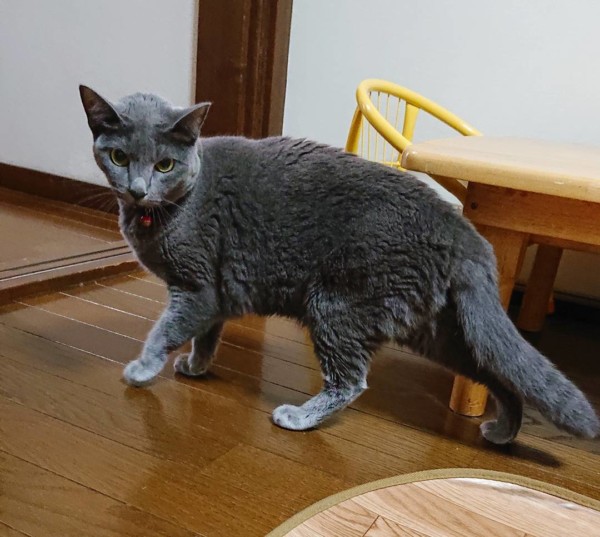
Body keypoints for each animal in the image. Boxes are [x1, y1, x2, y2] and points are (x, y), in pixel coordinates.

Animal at [79, 85, 599, 445]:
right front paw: (196, 366)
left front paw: (143, 370)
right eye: (119, 156)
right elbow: (207, 333)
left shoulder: (196, 287)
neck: (170, 207)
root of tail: (463, 232)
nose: (138, 189)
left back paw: (298, 417)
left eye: (164, 165)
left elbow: (165, 329)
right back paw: (502, 430)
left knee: (352, 381)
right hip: (432, 324)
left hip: (337, 305)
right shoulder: (216, 296)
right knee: (497, 370)